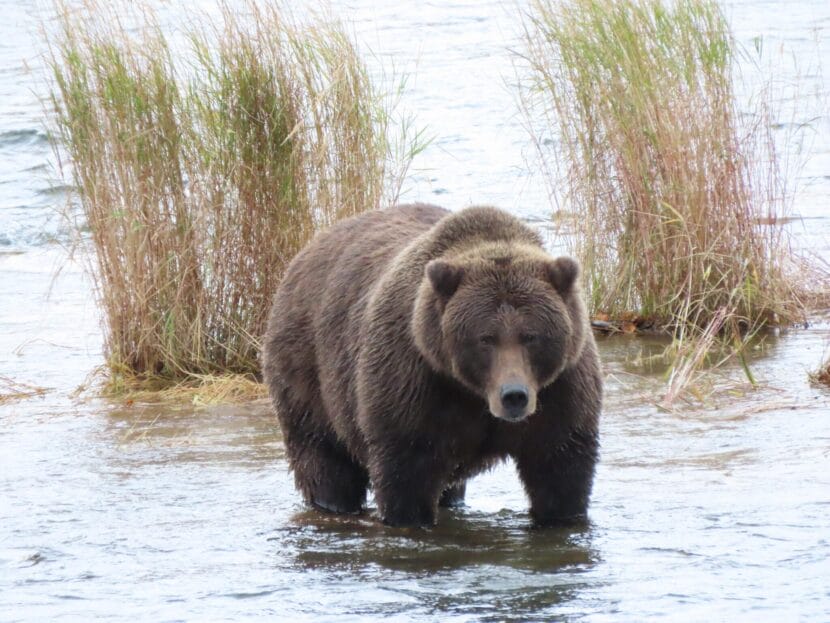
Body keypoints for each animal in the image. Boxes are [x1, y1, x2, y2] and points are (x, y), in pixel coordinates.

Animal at [263, 203, 602, 527]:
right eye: (486, 338)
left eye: (531, 336)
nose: (514, 395)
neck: (472, 393)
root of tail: (308, 249)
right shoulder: (413, 381)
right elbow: (407, 474)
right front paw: (410, 518)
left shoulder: (562, 390)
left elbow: (559, 471)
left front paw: (560, 516)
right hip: (308, 372)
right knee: (324, 458)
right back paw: (332, 502)